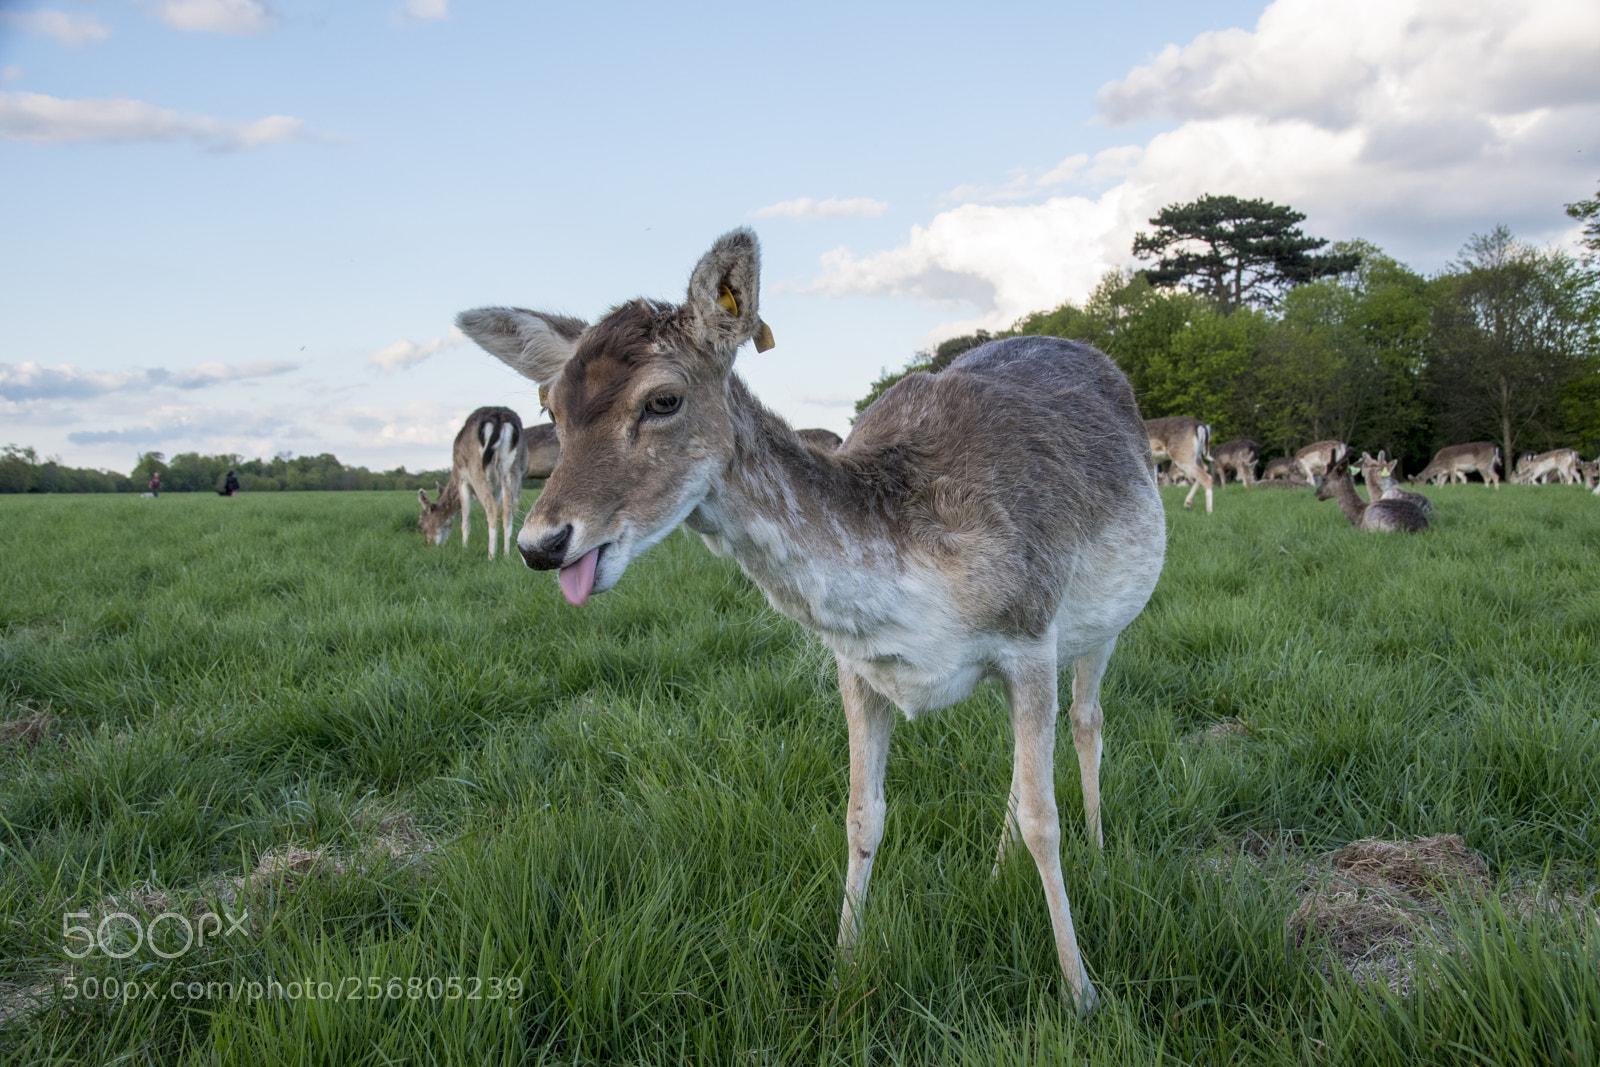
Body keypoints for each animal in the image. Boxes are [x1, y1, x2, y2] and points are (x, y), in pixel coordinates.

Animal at [417, 406, 529, 559]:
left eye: (420, 524)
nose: (427, 545)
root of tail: (499, 419)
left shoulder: (463, 481)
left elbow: (465, 520)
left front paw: (464, 549)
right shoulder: (497, 487)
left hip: (477, 471)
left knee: (492, 510)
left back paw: (491, 556)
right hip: (513, 470)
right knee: (507, 512)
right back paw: (506, 555)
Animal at [455, 229, 1168, 1014]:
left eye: (664, 399)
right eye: (550, 402)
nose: (541, 542)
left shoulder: (1031, 634)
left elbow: (1047, 820)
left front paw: (1081, 992)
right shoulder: (859, 665)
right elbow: (863, 813)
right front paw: (843, 968)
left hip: (1103, 622)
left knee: (1086, 719)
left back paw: (1098, 849)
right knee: (1019, 766)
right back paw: (992, 871)